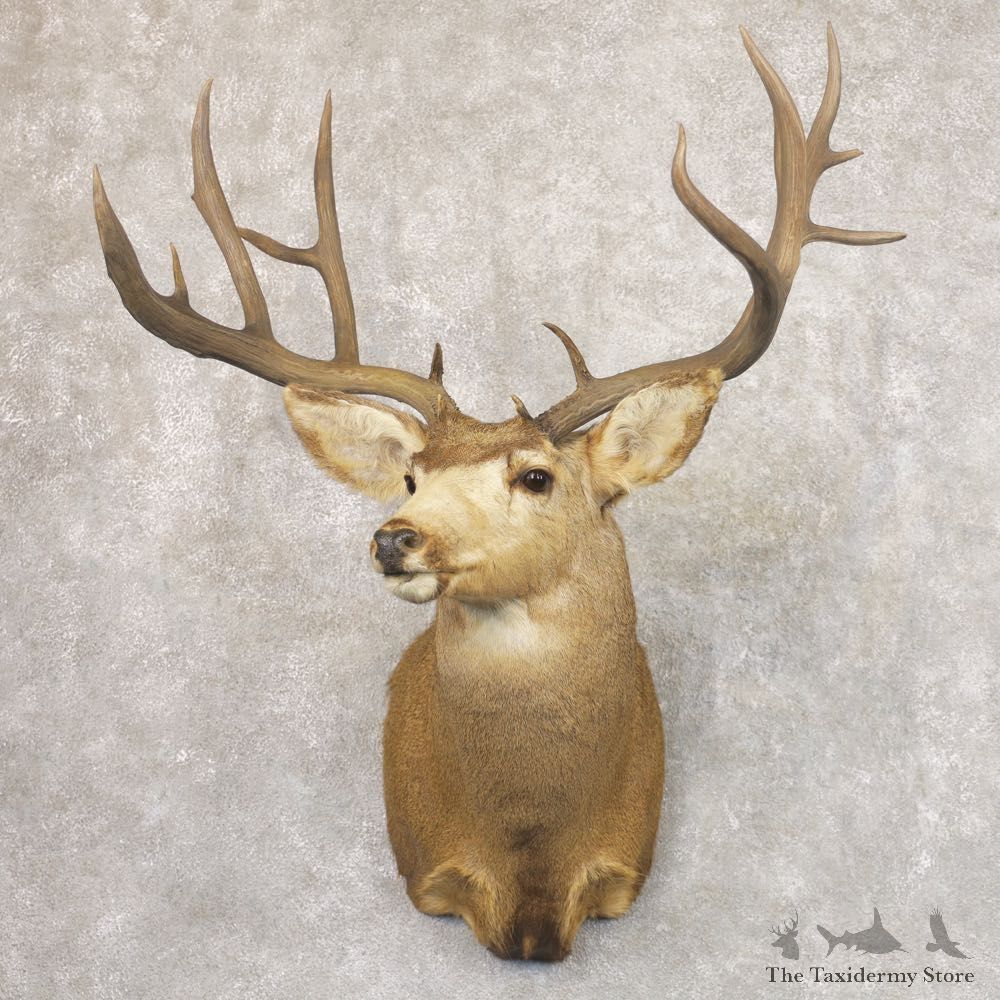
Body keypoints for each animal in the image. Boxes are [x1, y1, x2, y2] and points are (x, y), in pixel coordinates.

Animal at [92, 25, 902, 962]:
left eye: (536, 475)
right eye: (413, 474)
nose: (395, 536)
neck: (530, 857)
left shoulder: (622, 871)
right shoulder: (432, 870)